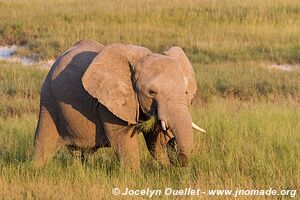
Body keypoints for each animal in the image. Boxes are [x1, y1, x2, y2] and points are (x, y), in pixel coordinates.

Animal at [33, 39, 206, 169]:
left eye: (185, 92)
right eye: (152, 93)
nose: (172, 140)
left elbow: (155, 141)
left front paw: (166, 168)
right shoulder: (108, 103)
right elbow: (125, 141)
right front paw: (134, 177)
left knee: (80, 153)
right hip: (49, 100)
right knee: (44, 144)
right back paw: (37, 170)